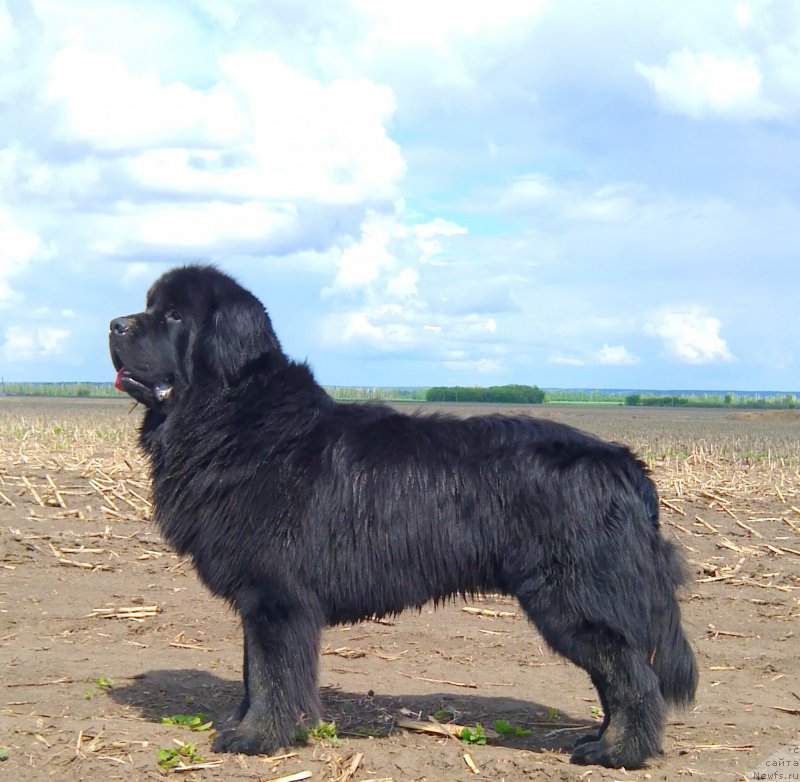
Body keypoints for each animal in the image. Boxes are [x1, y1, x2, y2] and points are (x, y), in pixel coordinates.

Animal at [109, 266, 696, 768]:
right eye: (148, 306)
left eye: (174, 316)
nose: (114, 324)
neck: (230, 415)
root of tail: (624, 463)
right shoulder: (263, 601)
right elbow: (256, 673)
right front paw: (252, 726)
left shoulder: (275, 596)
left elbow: (272, 676)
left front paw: (256, 739)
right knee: (618, 676)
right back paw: (600, 738)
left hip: (574, 598)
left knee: (633, 678)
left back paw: (617, 753)